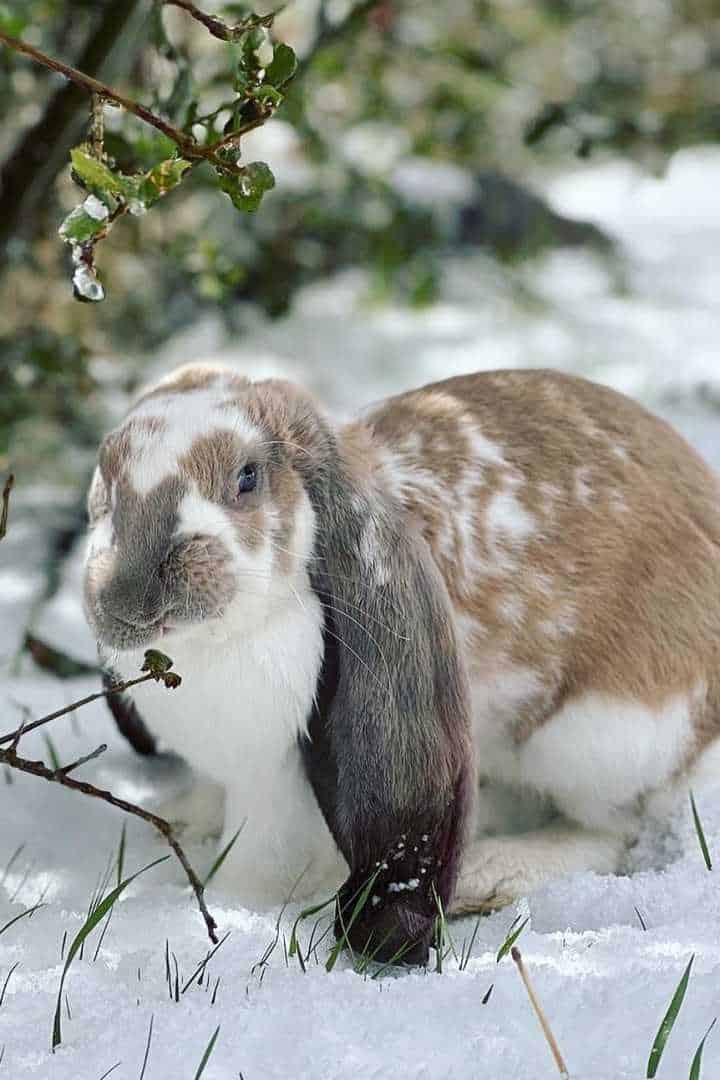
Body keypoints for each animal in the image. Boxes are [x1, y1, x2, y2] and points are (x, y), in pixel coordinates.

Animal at [81, 367, 720, 967]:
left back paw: (490, 871)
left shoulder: (274, 780)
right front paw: (181, 820)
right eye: (105, 486)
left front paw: (233, 907)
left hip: (592, 743)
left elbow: (261, 863)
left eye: (247, 477)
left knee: (615, 831)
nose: (133, 596)